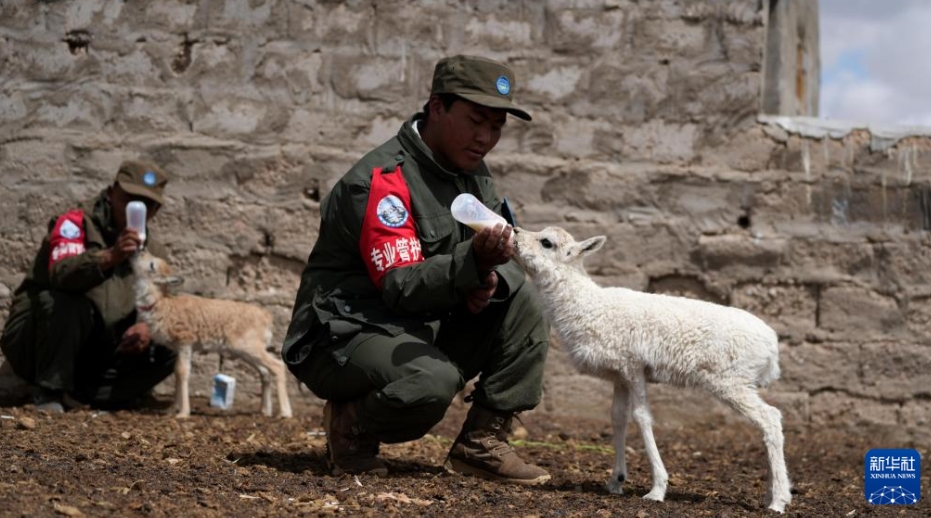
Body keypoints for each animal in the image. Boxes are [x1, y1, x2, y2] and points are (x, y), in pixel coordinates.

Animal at [131, 253, 292, 422]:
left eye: (152, 265)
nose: (137, 252)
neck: (162, 303)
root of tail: (267, 317)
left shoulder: (185, 342)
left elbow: (182, 371)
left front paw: (183, 413)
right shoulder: (178, 347)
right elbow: (176, 371)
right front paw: (172, 409)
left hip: (248, 346)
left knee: (277, 366)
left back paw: (285, 413)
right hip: (245, 350)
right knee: (265, 372)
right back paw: (265, 411)